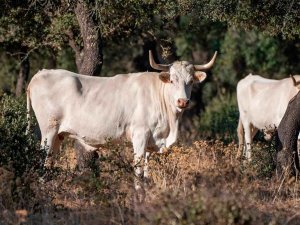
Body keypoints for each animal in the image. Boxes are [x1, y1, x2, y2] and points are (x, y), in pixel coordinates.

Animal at [27, 51, 217, 186]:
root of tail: (40, 74)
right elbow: (138, 173)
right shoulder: (139, 137)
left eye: (190, 81)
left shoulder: (151, 143)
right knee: (42, 163)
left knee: (49, 163)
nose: (182, 101)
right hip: (48, 131)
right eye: (172, 80)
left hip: (58, 136)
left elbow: (146, 175)